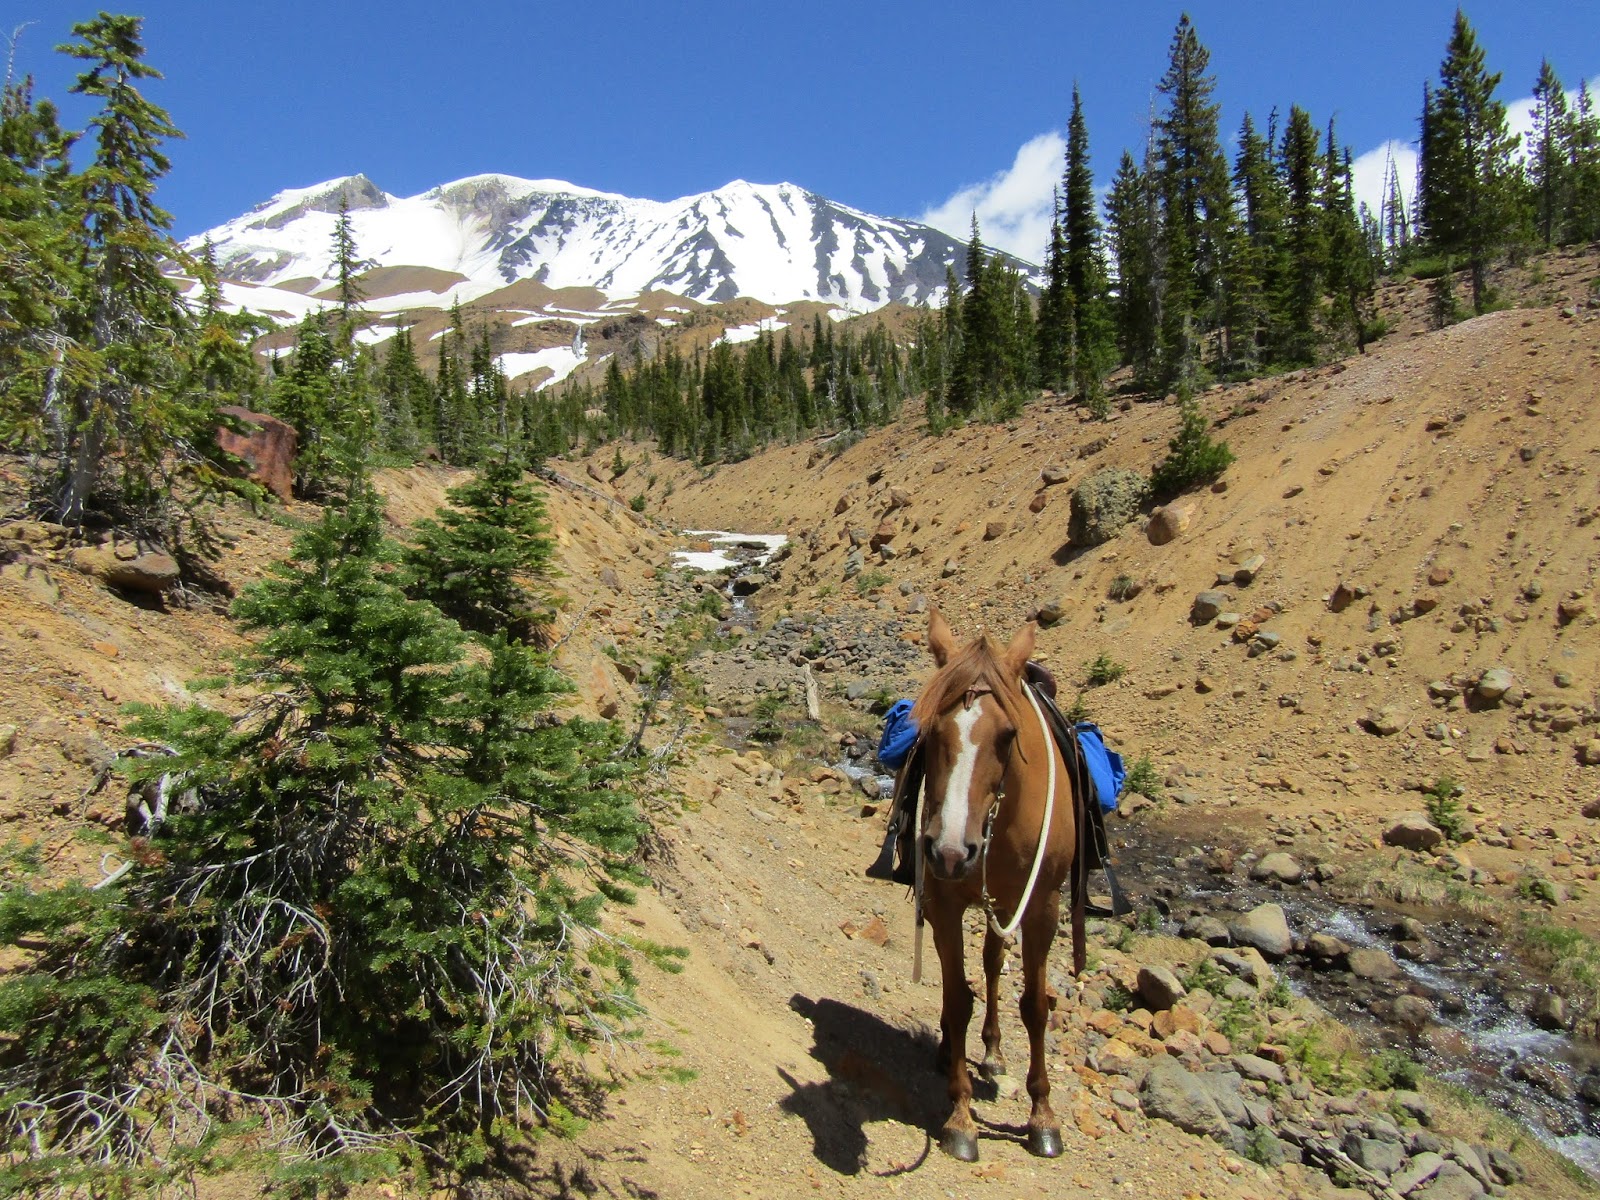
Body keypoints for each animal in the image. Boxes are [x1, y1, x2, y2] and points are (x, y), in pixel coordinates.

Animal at [910, 607, 1084, 1162]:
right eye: (928, 728)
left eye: (1008, 735)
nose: (949, 851)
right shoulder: (944, 902)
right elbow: (956, 997)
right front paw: (961, 1117)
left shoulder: (1043, 907)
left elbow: (1035, 1005)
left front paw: (1043, 1117)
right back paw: (953, 1048)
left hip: (1007, 904)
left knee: (992, 961)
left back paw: (992, 1051)